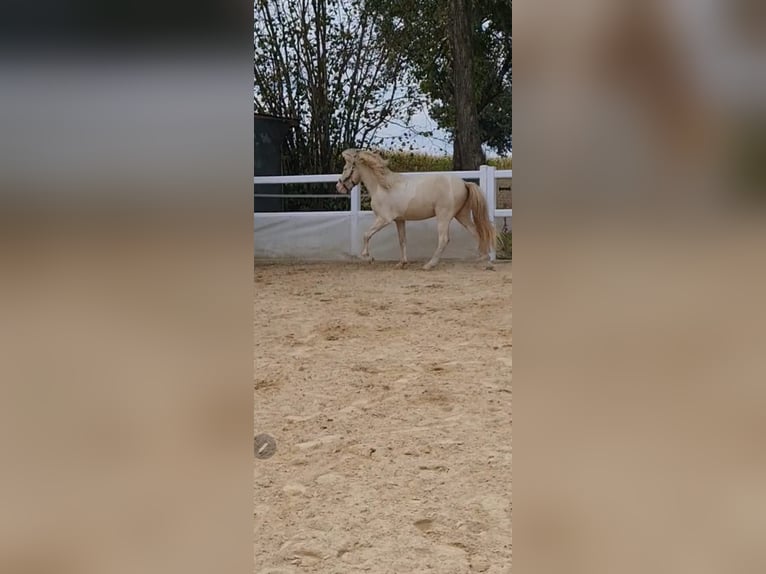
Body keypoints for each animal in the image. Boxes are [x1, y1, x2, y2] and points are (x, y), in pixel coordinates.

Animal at [336, 151, 498, 272]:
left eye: (344, 168)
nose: (339, 187)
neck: (383, 187)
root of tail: (464, 183)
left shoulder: (384, 219)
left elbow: (366, 235)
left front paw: (369, 258)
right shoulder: (399, 220)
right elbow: (402, 240)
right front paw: (402, 263)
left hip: (444, 216)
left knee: (444, 239)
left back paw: (429, 265)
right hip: (461, 215)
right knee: (476, 232)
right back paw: (485, 261)